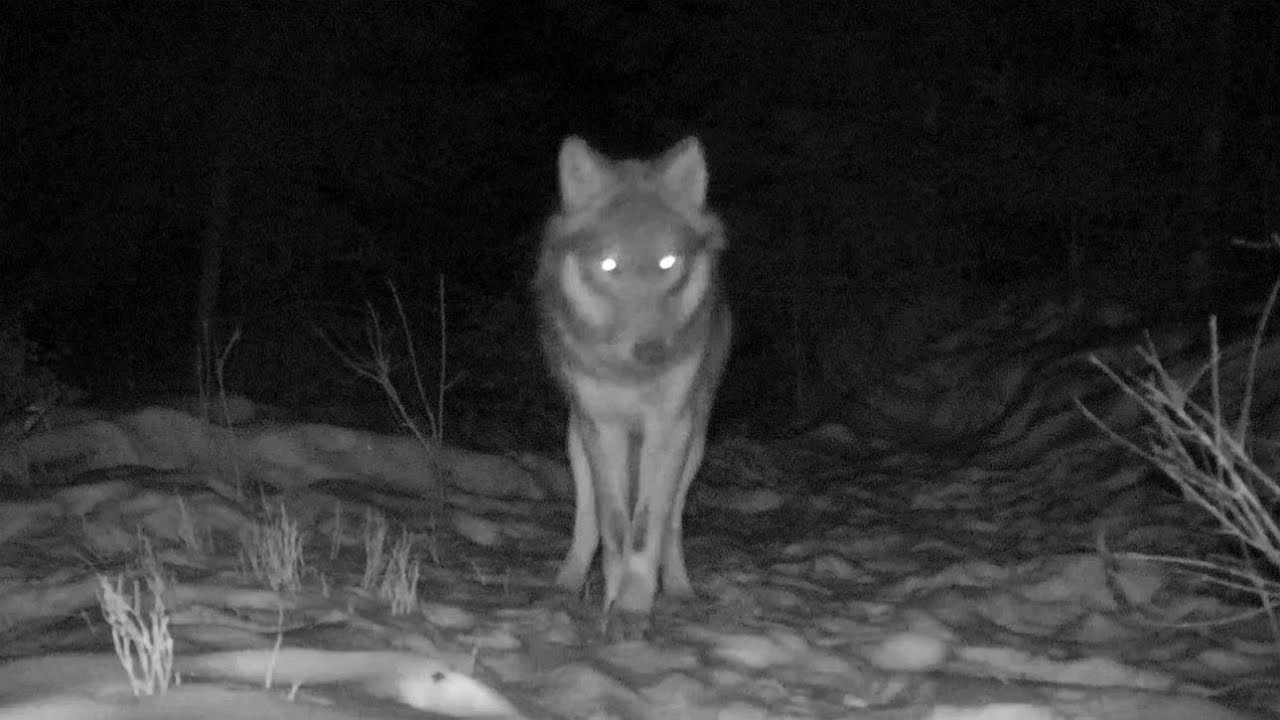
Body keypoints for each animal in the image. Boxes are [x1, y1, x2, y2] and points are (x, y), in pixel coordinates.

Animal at [534, 135, 732, 631]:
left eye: (668, 262)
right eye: (609, 265)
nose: (652, 352)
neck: (631, 376)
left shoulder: (669, 426)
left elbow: (648, 526)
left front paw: (634, 603)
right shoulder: (602, 427)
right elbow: (614, 524)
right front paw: (613, 597)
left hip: (694, 441)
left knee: (673, 519)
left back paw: (678, 588)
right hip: (576, 437)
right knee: (587, 516)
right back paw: (566, 584)